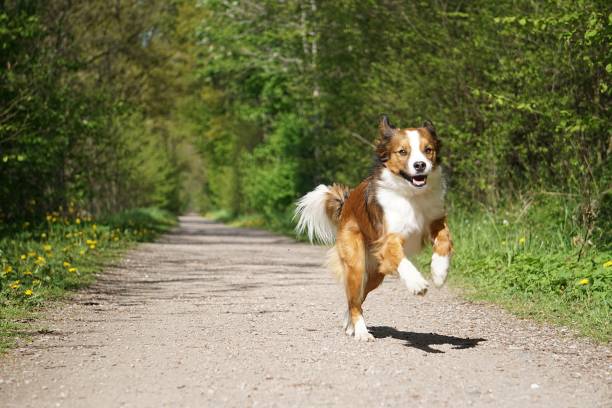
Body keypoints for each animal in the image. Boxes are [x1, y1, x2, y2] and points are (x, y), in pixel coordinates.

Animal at [294, 115, 452, 342]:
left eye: (428, 149)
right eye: (402, 151)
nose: (420, 165)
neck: (411, 195)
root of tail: (346, 203)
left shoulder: (435, 219)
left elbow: (444, 241)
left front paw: (439, 272)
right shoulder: (388, 238)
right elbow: (401, 259)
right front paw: (416, 283)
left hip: (375, 274)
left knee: (357, 299)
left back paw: (349, 325)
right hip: (357, 264)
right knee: (354, 300)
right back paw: (361, 331)